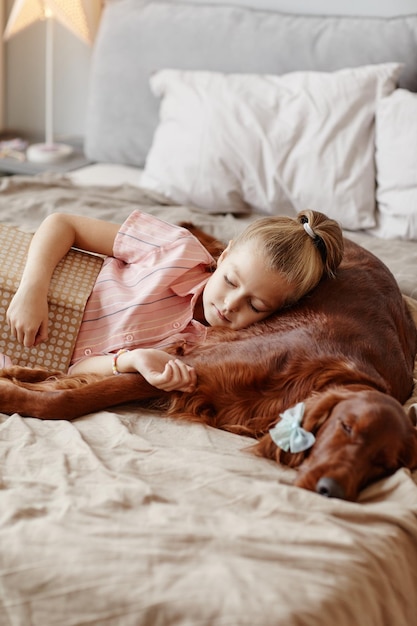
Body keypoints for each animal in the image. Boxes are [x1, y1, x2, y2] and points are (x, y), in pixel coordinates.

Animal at [0, 232, 416, 500]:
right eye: (346, 427)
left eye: (386, 465)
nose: (333, 491)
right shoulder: (189, 366)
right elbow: (69, 399)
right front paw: (14, 394)